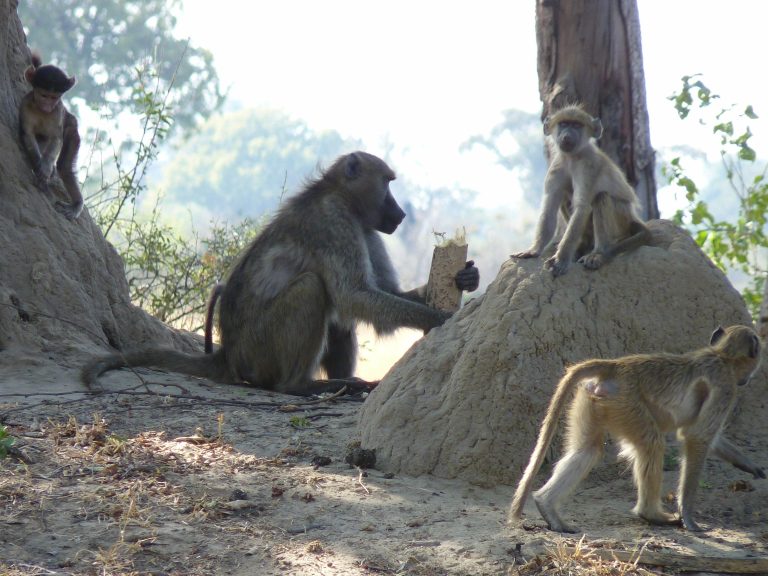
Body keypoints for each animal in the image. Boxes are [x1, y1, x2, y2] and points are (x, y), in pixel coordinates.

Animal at [19, 54, 83, 220]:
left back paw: (76, 205)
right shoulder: (25, 104)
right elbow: (28, 134)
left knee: (64, 167)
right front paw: (39, 166)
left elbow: (56, 138)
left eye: (54, 97)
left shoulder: (57, 111)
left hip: (72, 130)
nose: (48, 106)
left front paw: (46, 168)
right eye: (44, 95)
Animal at [84, 152, 480, 395]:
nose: (400, 214)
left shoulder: (365, 229)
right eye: (388, 183)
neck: (339, 195)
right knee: (313, 289)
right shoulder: (334, 222)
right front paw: (436, 319)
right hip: (259, 352)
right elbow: (355, 296)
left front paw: (466, 279)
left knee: (337, 318)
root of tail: (228, 354)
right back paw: (302, 386)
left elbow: (377, 293)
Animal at [509, 325, 764, 533]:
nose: (748, 379)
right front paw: (688, 517)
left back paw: (546, 506)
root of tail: (616, 366)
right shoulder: (725, 387)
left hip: (594, 399)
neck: (723, 356)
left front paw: (751, 466)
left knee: (587, 450)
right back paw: (651, 514)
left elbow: (709, 438)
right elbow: (697, 437)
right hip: (626, 402)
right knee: (651, 443)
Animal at [512, 104, 650, 276]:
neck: (572, 157)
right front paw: (534, 250)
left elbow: (582, 206)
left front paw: (560, 260)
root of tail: (633, 217)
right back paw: (582, 245)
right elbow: (550, 207)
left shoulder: (588, 167)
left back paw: (599, 253)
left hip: (622, 218)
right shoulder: (557, 167)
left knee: (601, 197)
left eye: (577, 125)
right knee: (565, 196)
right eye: (564, 124)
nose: (567, 135)